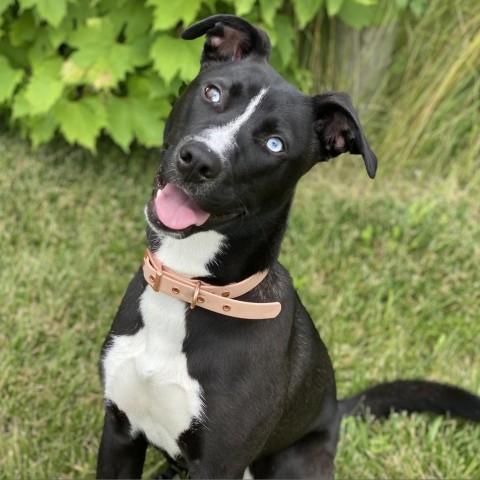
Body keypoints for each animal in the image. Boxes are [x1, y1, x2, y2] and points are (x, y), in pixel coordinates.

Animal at [96, 14, 480, 476]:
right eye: (213, 92)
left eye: (274, 144)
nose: (198, 160)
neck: (189, 288)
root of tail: (335, 412)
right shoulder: (120, 431)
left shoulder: (218, 463)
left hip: (294, 461)